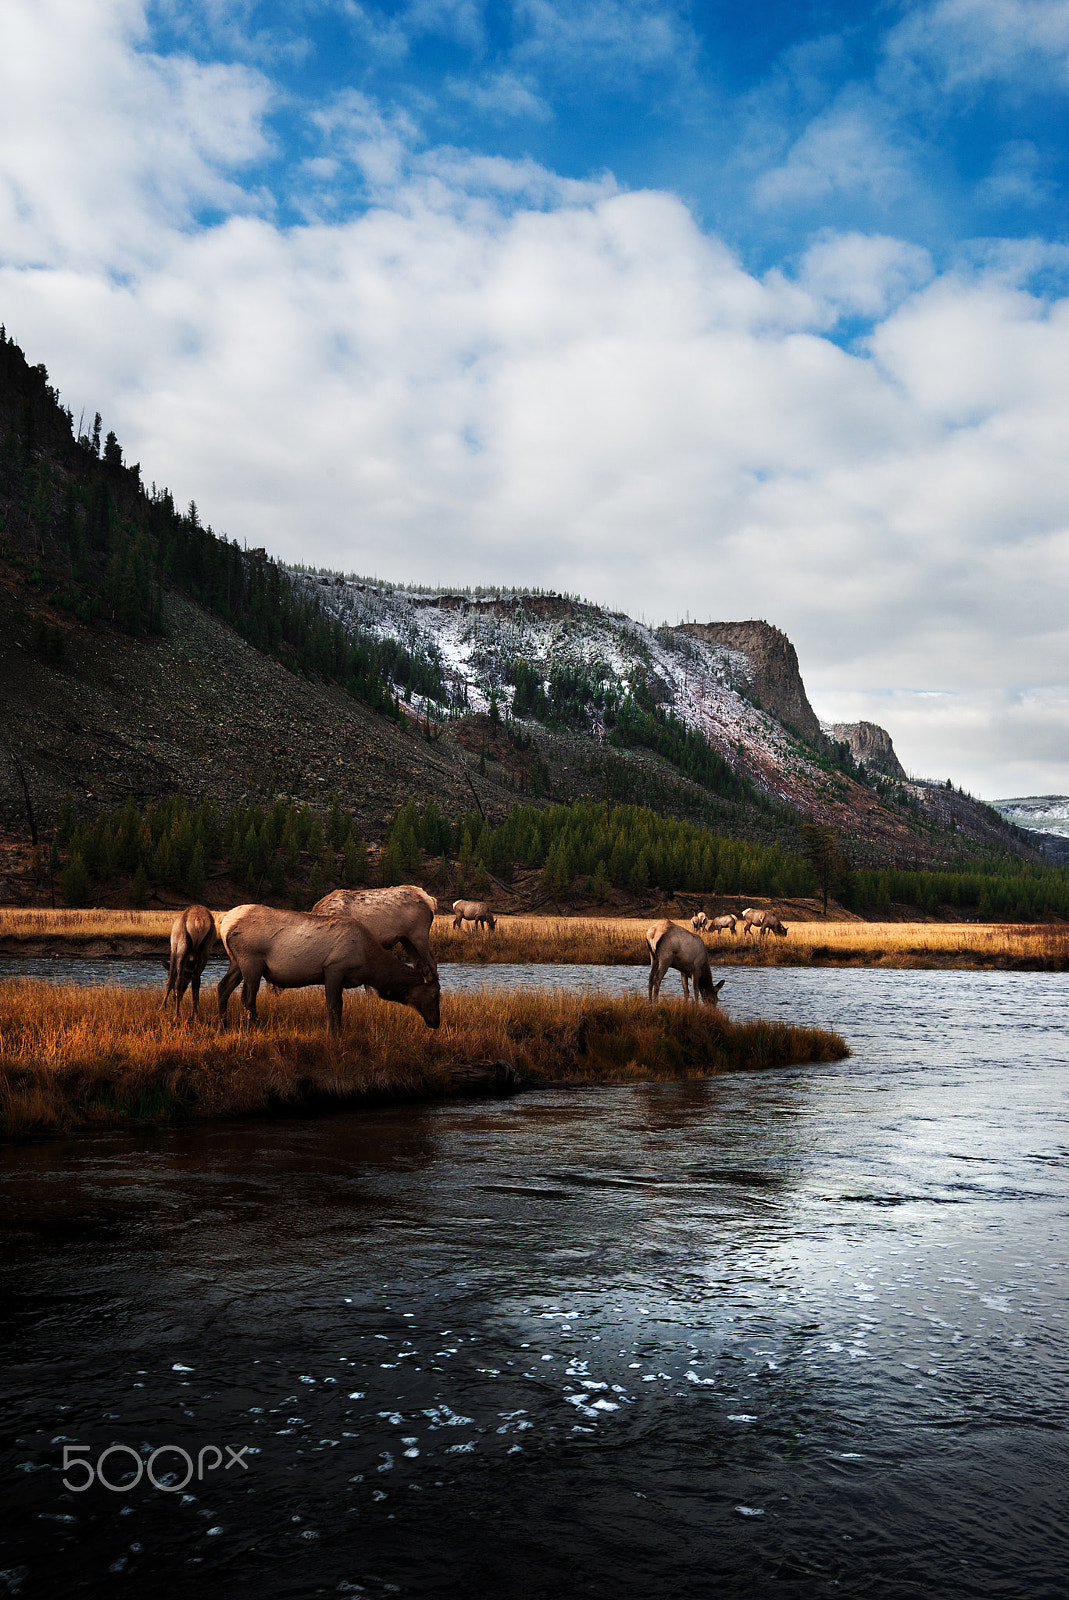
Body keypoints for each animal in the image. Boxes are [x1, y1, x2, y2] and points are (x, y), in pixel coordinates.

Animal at [216, 908, 438, 1030]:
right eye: (435, 995)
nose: (436, 1023)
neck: (368, 963)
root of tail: (225, 923)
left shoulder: (341, 978)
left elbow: (339, 1006)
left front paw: (339, 1031)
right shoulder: (333, 969)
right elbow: (332, 1005)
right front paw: (332, 1035)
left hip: (236, 962)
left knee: (223, 988)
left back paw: (222, 1028)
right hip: (251, 962)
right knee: (247, 997)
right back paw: (258, 1028)